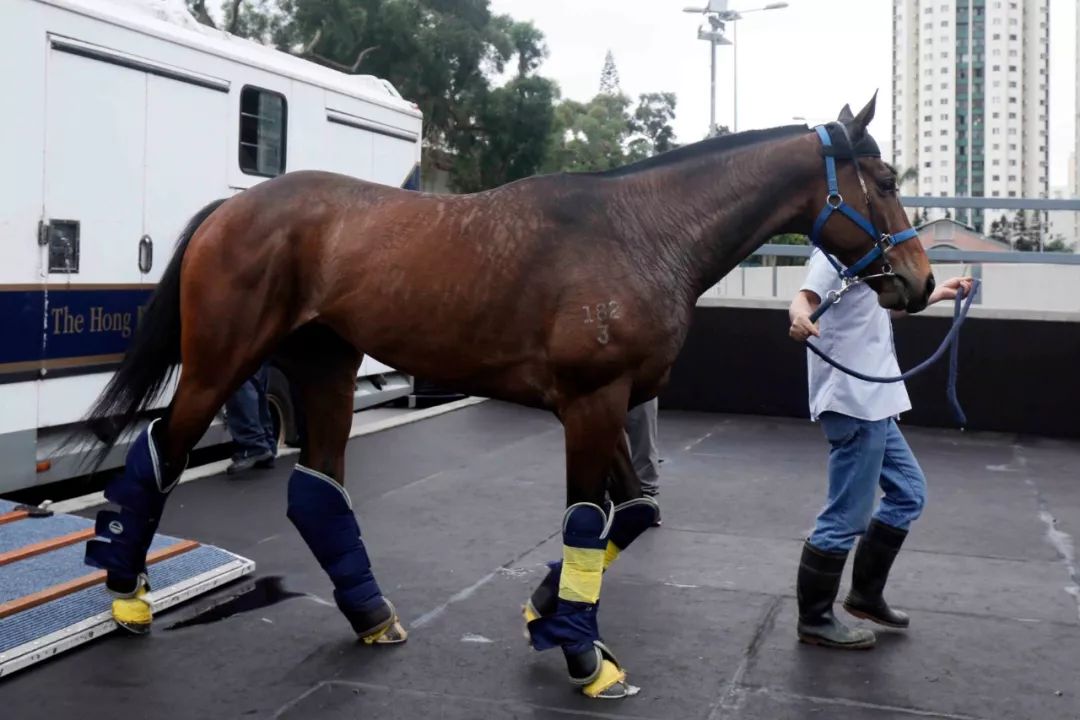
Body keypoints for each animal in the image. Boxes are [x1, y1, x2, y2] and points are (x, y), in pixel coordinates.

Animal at [79, 94, 933, 699]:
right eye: (887, 183)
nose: (921, 281)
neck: (642, 231)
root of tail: (233, 206)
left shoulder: (613, 405)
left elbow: (633, 513)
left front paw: (546, 610)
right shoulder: (591, 403)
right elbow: (588, 520)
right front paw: (585, 656)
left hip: (327, 371)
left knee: (319, 490)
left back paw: (371, 615)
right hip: (219, 365)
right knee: (162, 453)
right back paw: (125, 598)